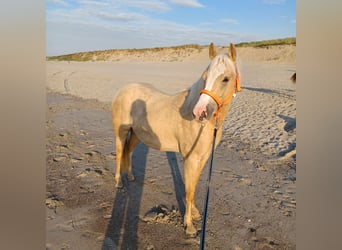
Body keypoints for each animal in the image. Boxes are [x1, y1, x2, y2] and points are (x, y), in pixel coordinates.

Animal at [111, 43, 240, 236]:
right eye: (205, 77)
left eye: (225, 78)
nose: (199, 112)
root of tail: (123, 89)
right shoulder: (190, 158)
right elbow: (189, 190)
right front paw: (189, 226)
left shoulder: (203, 158)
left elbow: (194, 186)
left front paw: (194, 213)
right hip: (122, 132)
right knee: (120, 153)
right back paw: (119, 182)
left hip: (136, 135)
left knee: (128, 151)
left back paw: (131, 176)